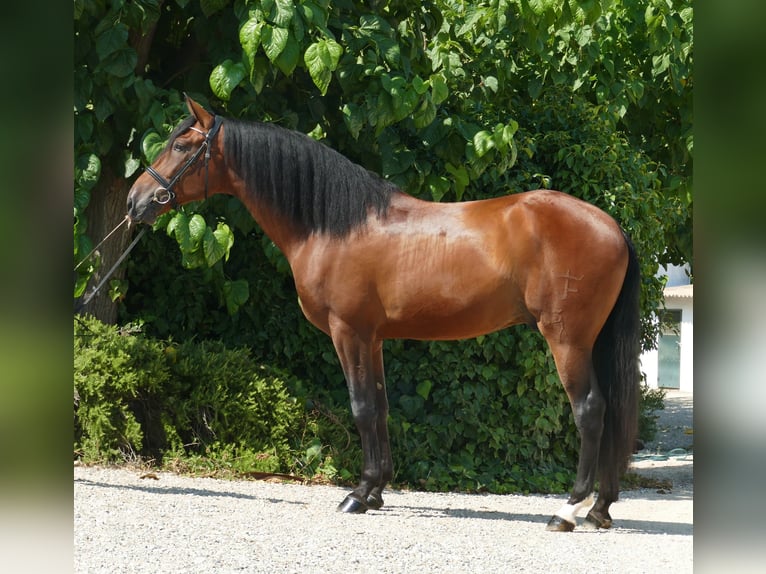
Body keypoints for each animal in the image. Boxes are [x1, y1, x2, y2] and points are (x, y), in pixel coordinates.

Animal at [127, 96, 640, 532]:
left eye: (181, 145)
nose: (135, 202)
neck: (335, 225)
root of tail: (612, 226)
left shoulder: (348, 332)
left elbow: (361, 407)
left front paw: (357, 495)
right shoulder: (372, 338)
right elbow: (380, 406)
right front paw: (375, 492)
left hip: (566, 339)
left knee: (589, 409)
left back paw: (567, 511)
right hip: (590, 341)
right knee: (612, 410)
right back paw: (600, 510)